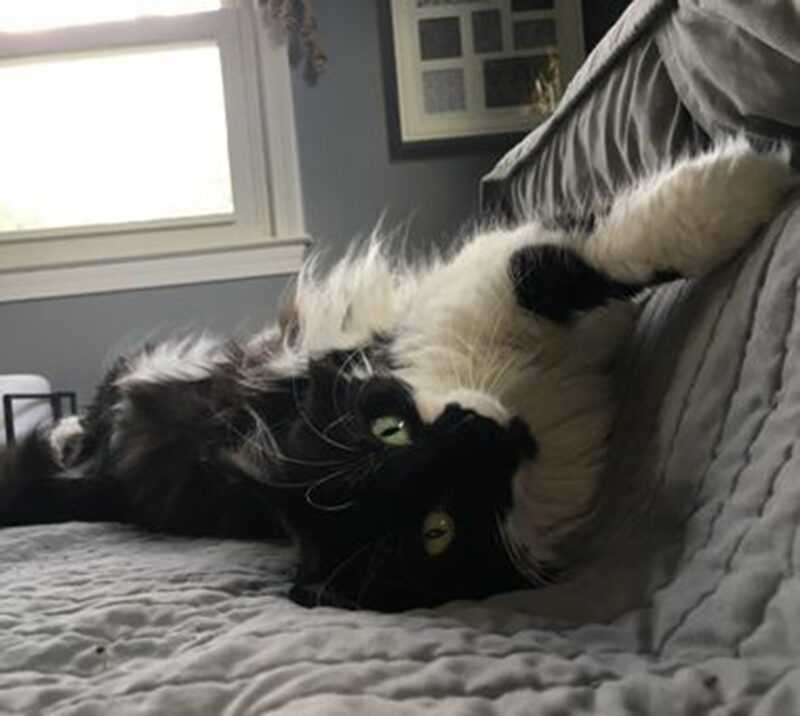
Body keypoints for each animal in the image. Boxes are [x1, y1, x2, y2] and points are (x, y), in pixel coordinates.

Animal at [0, 140, 792, 608]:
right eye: (437, 531)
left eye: (390, 430)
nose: (484, 434)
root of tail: (107, 476)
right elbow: (576, 262)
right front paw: (762, 178)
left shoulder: (477, 289)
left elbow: (596, 254)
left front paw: (750, 182)